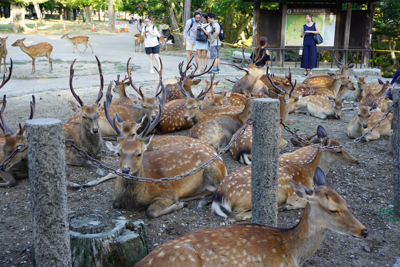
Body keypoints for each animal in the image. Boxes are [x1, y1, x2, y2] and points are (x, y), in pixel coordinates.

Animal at [104, 81, 228, 220]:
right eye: (118, 153)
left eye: (139, 154)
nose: (125, 170)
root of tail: (219, 158)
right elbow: (115, 203)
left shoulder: (167, 192)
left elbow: (150, 211)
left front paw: (179, 204)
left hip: (213, 169)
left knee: (219, 189)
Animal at [212, 126, 360, 223]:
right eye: (338, 151)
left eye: (342, 146)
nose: (356, 160)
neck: (308, 173)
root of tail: (218, 196)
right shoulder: (295, 192)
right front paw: (287, 206)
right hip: (247, 198)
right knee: (232, 217)